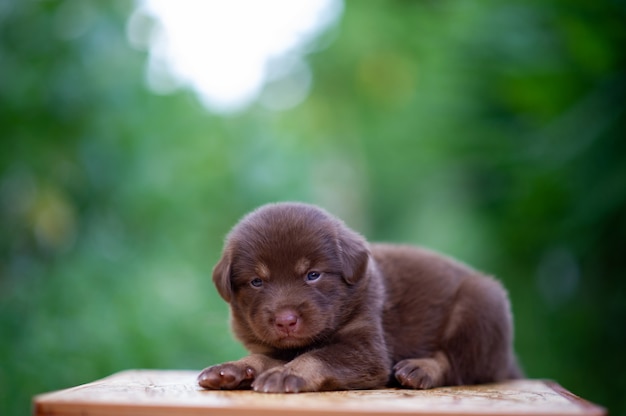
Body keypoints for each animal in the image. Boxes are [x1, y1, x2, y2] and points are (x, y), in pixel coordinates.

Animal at [197, 203, 520, 392]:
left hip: (481, 303)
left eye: (313, 275)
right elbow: (261, 357)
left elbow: (316, 357)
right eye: (256, 282)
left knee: (458, 363)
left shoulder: (366, 348)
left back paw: (419, 369)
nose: (285, 321)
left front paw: (287, 374)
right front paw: (231, 369)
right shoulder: (270, 345)